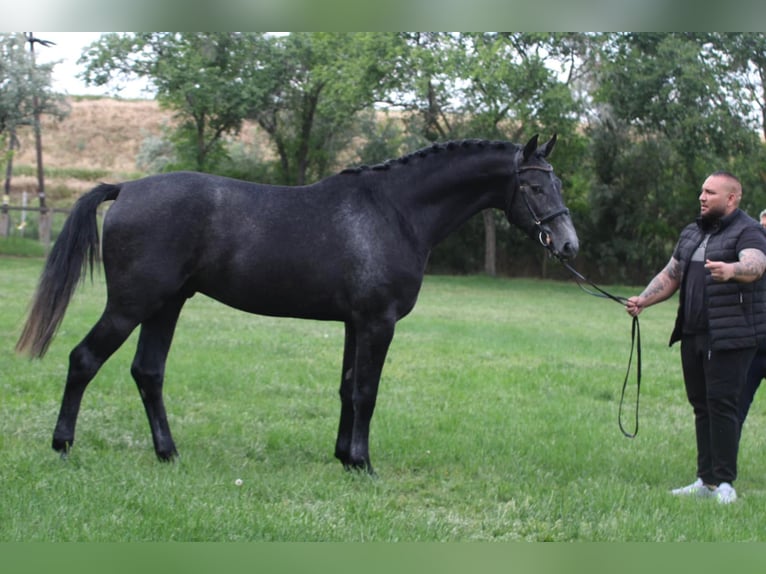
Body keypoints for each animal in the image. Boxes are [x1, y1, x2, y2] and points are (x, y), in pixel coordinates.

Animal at [16, 134, 578, 474]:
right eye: (533, 185)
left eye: (558, 182)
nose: (569, 244)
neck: (395, 211)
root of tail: (127, 188)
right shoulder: (378, 323)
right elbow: (367, 393)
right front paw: (364, 464)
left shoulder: (355, 323)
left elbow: (348, 389)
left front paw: (344, 458)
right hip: (133, 304)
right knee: (84, 360)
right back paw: (63, 446)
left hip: (167, 305)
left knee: (148, 373)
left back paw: (168, 453)